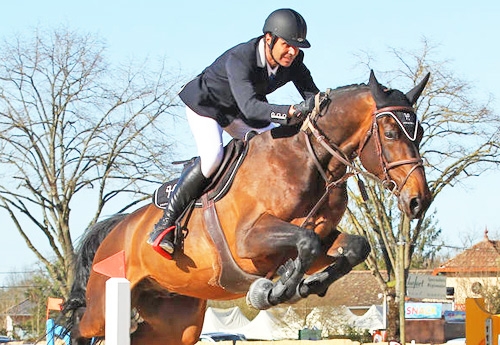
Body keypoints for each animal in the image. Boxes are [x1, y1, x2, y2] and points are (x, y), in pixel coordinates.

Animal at [61, 70, 430, 344]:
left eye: (421, 131)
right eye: (391, 133)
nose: (419, 201)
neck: (309, 162)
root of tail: (119, 227)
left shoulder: (318, 235)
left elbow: (352, 247)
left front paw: (309, 285)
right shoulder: (247, 241)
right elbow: (306, 243)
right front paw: (276, 290)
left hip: (174, 321)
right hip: (104, 304)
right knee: (80, 326)